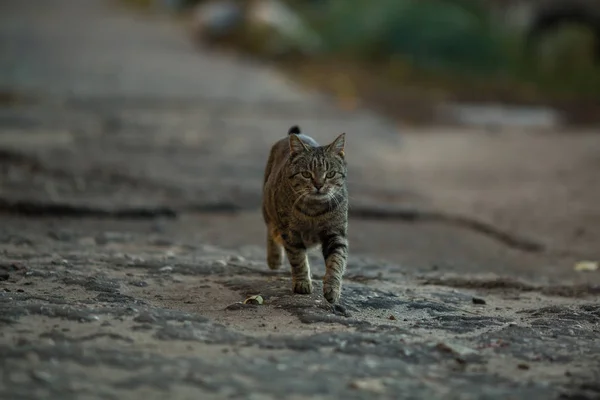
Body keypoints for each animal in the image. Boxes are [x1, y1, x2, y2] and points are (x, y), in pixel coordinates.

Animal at [260, 125, 350, 304]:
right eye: (306, 174)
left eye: (330, 174)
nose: (319, 185)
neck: (314, 211)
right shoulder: (291, 233)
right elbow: (298, 259)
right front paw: (302, 283)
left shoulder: (336, 234)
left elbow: (336, 261)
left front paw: (332, 288)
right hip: (268, 208)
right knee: (271, 231)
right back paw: (274, 258)